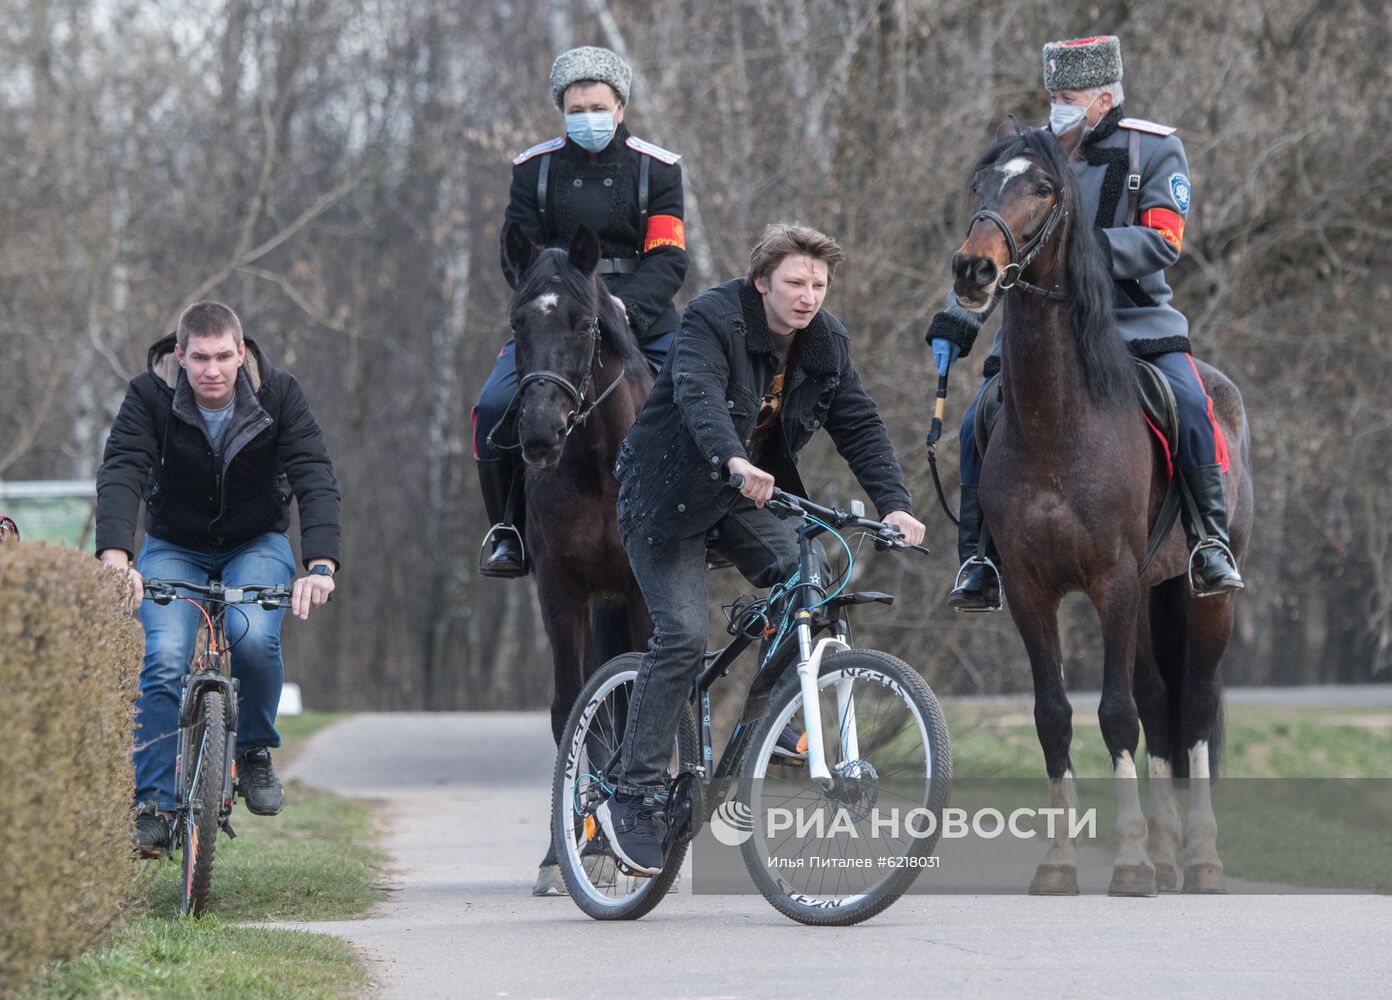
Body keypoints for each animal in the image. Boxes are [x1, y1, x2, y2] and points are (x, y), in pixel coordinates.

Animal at [952, 123, 1258, 902]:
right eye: (979, 185)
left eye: (1042, 189)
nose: (972, 269)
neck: (1057, 418)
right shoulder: (1030, 589)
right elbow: (1055, 717)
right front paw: (1063, 863)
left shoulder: (1112, 582)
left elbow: (1115, 715)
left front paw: (1127, 864)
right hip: (1152, 594)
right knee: (1158, 700)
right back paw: (1166, 851)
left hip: (1200, 598)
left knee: (1196, 707)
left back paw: (1200, 859)